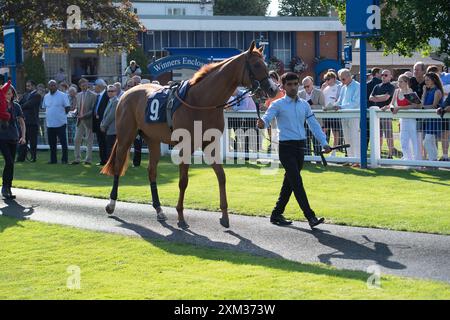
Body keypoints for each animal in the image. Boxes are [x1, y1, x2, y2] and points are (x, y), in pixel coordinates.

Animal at [102, 41, 278, 229]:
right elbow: (183, 181)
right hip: (125, 136)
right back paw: (111, 204)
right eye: (257, 65)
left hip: (153, 140)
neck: (202, 101)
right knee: (118, 166)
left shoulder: (210, 144)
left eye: (266, 64)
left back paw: (159, 209)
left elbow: (221, 177)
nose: (274, 89)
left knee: (151, 171)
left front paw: (224, 216)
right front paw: (181, 217)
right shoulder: (185, 146)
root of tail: (126, 93)